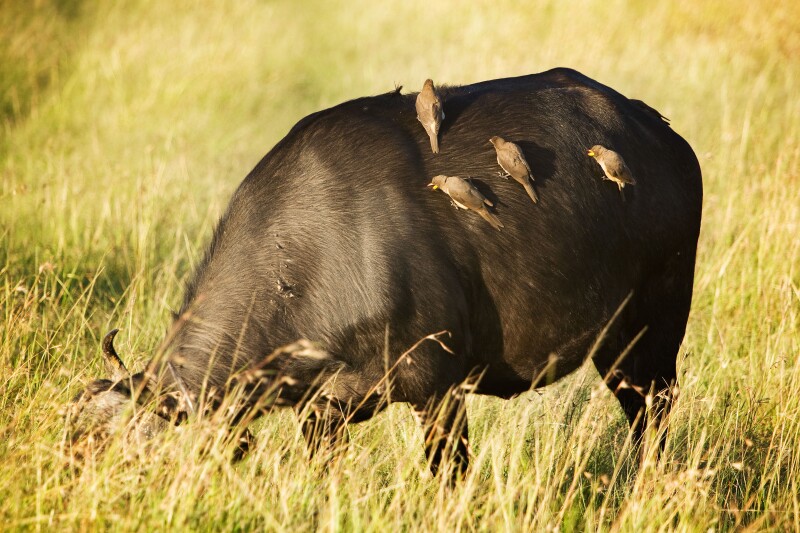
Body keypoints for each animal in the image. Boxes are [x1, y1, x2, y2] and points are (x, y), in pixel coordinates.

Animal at [69, 68, 702, 476]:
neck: (311, 260)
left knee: (655, 417)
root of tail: (664, 137)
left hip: (651, 331)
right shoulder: (321, 413)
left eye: (126, 457)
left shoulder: (440, 392)